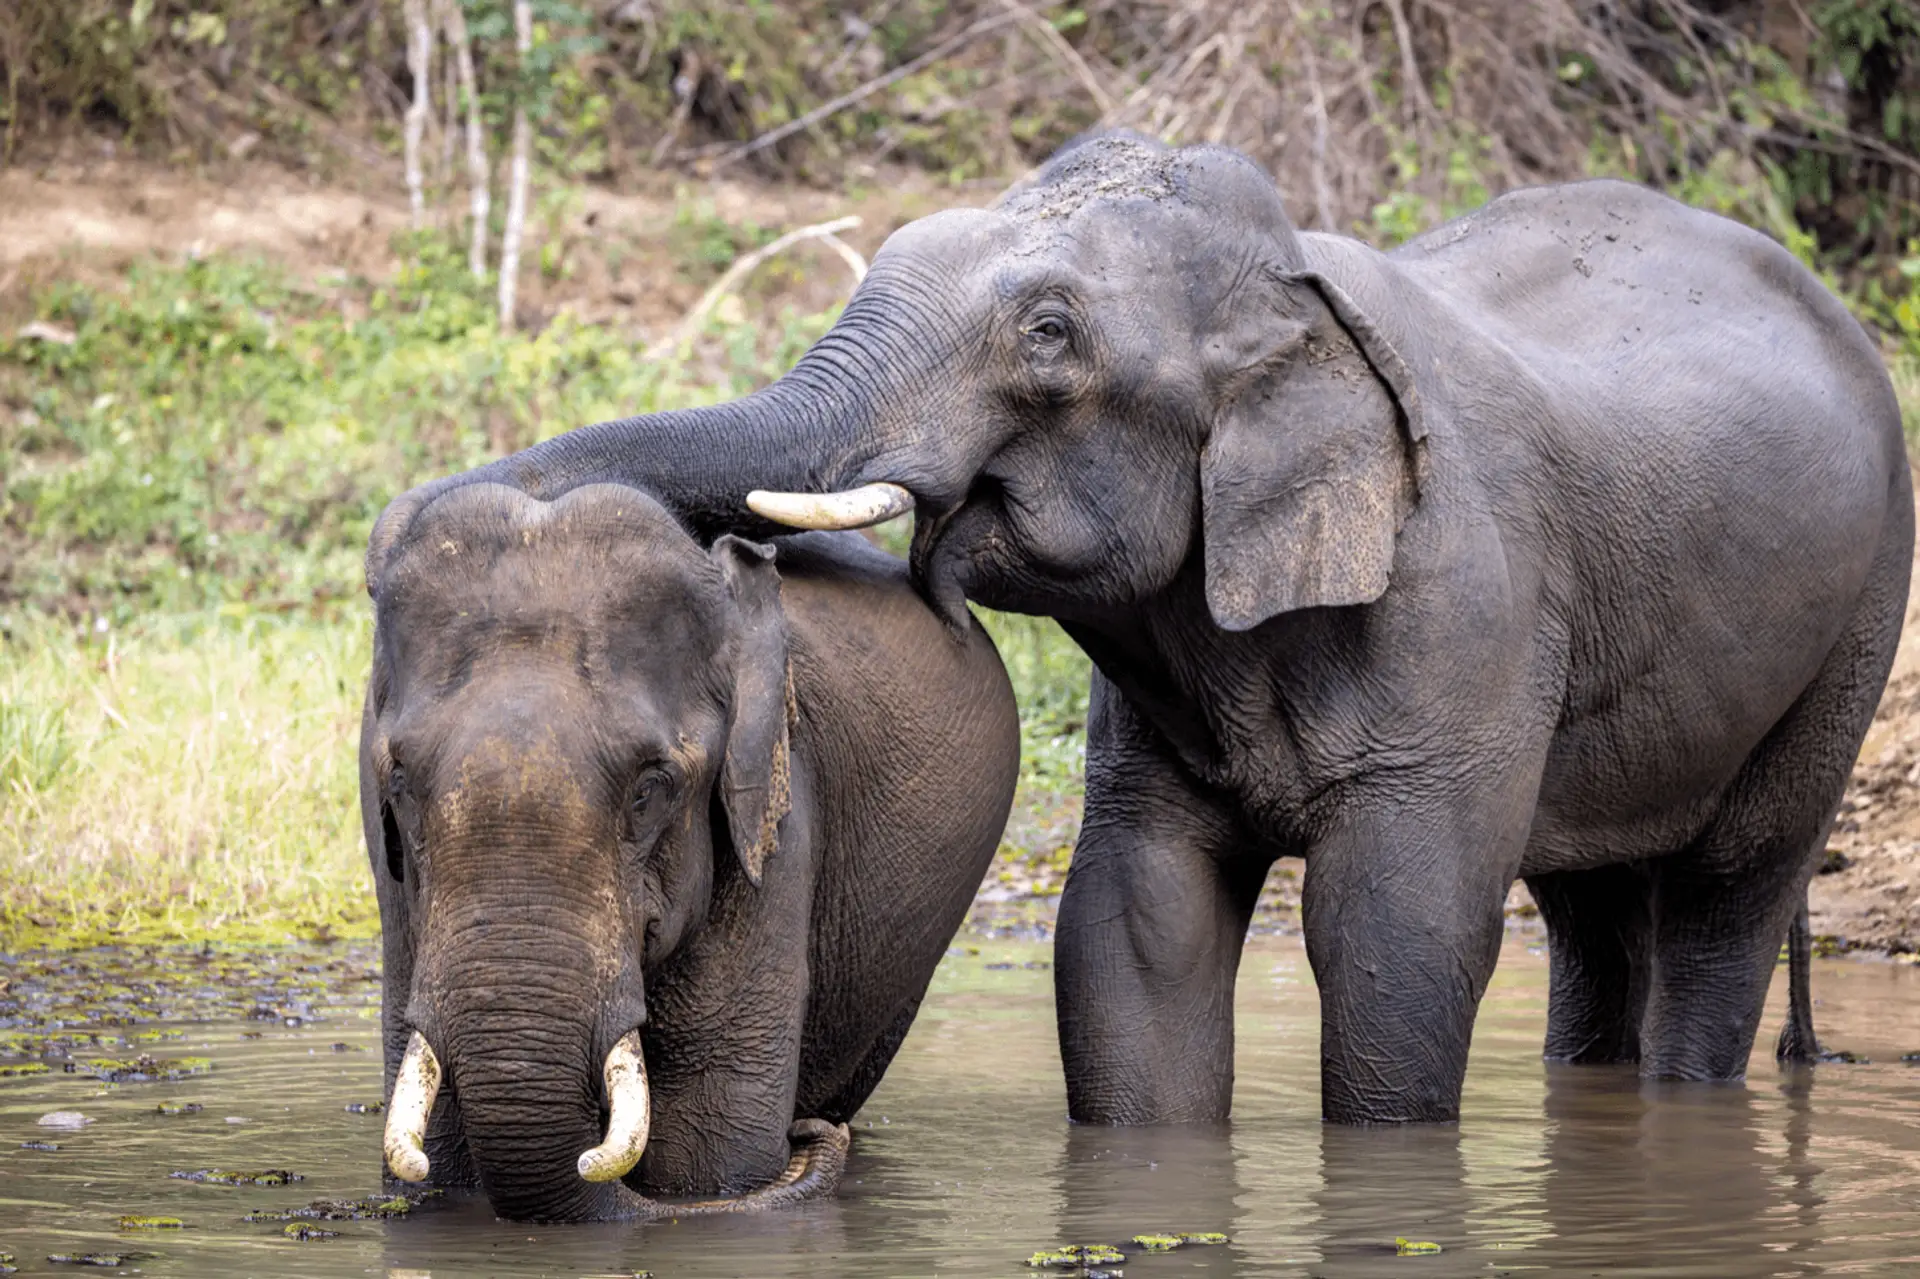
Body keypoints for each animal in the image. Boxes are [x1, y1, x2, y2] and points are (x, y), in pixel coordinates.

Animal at [358, 480, 1019, 1221]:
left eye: (652, 787)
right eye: (401, 780)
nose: (809, 1135)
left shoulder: (774, 818)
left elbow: (710, 1156)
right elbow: (439, 1157)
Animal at [375, 133, 1911, 1126]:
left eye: (1051, 334)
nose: (404, 526)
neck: (1294, 292)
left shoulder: (1464, 596)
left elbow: (1398, 925)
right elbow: (1133, 923)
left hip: (1857, 616)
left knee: (1727, 889)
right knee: (1593, 908)